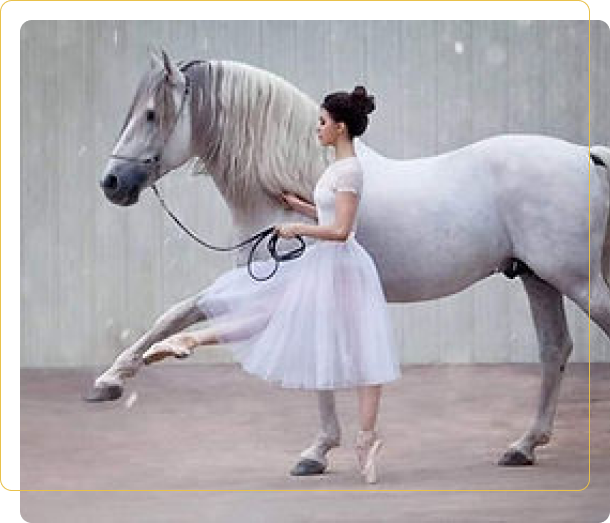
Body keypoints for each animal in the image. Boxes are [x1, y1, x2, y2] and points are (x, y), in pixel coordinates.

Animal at [89, 51, 608, 472]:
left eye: (152, 114)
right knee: (554, 350)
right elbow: (179, 311)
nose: (111, 183)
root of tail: (587, 156)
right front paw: (109, 380)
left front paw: (317, 451)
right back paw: (523, 446)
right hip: (538, 278)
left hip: (577, 282)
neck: (290, 185)